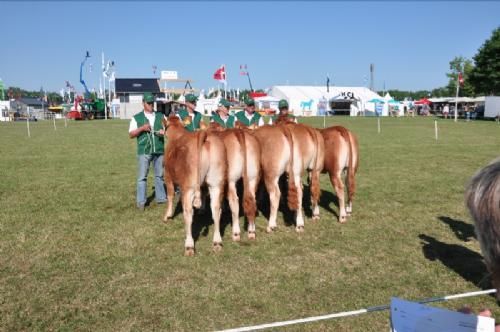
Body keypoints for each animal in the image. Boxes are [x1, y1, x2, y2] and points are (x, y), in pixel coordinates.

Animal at [162, 115, 227, 255]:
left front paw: (167, 215)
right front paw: (202, 209)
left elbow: (170, 195)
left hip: (189, 187)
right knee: (216, 209)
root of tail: (204, 134)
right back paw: (217, 242)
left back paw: (189, 245)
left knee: (188, 212)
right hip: (216, 184)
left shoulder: (167, 176)